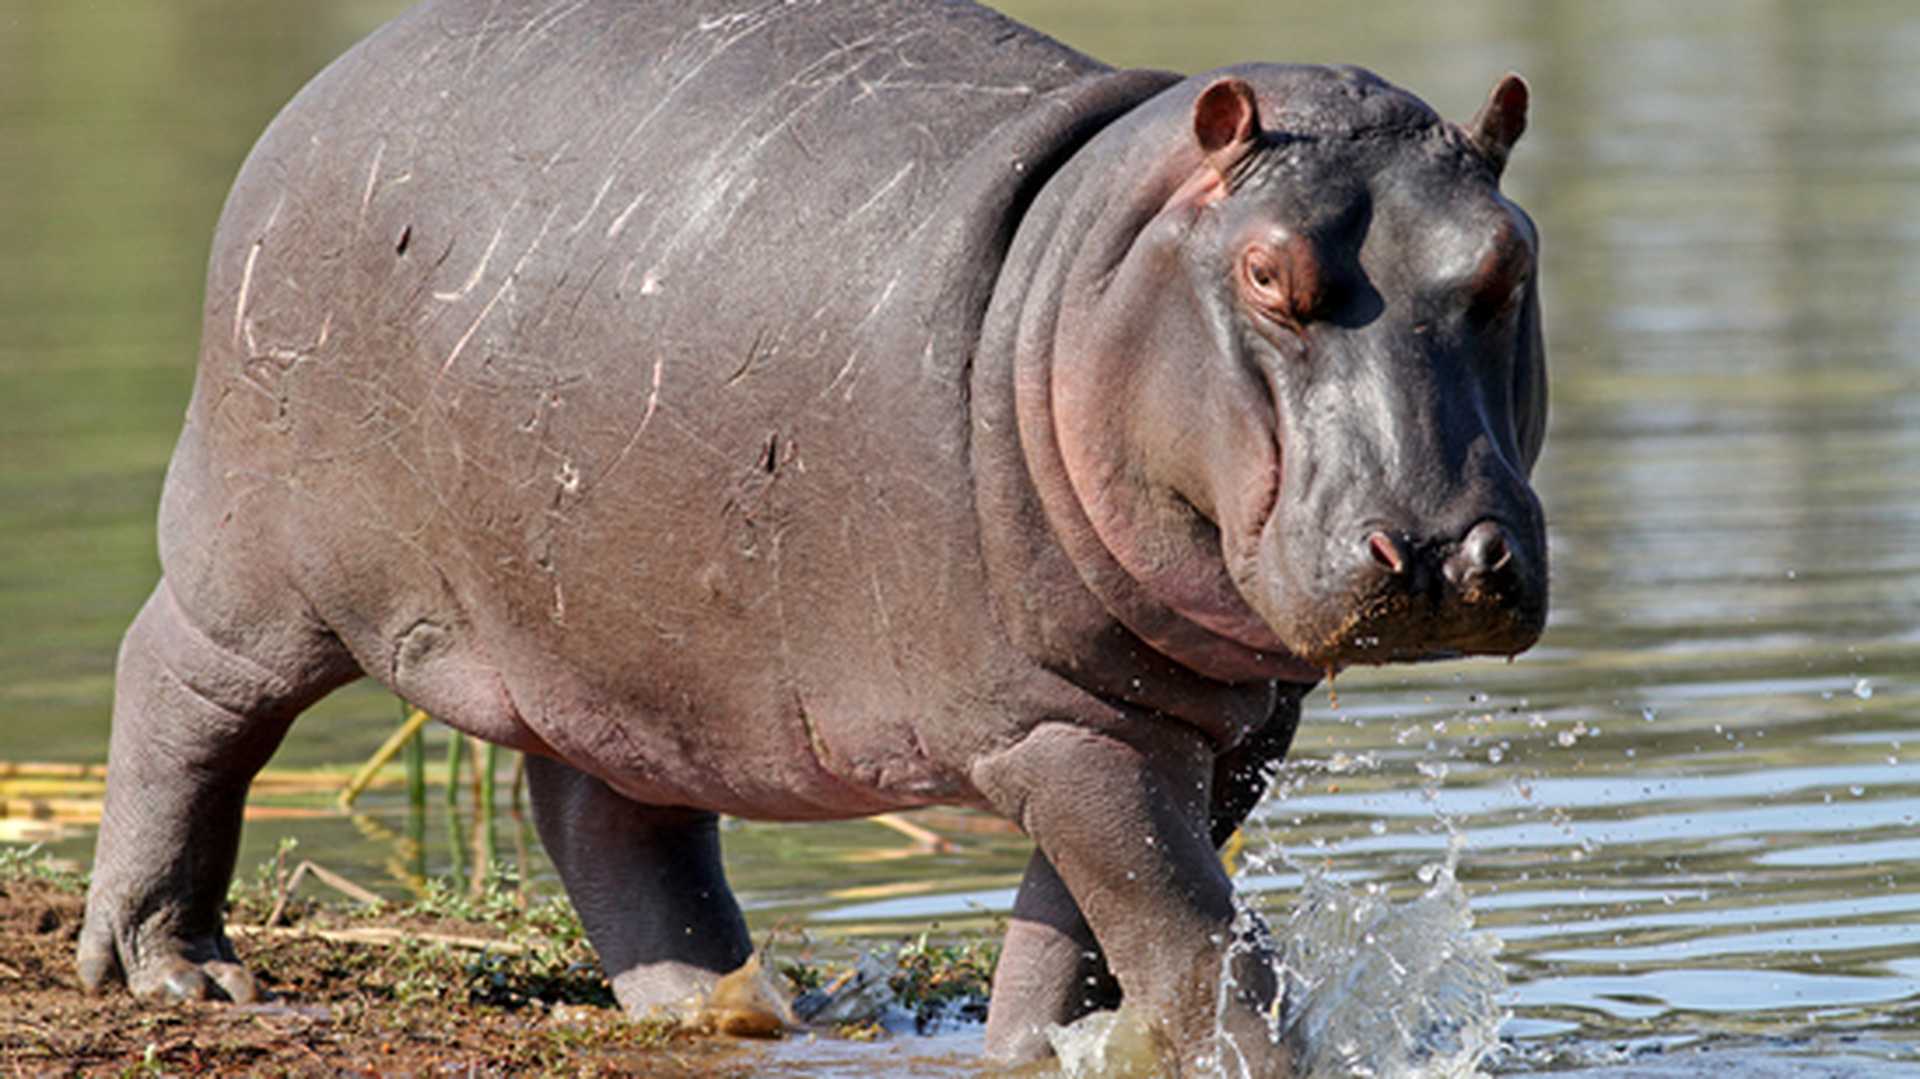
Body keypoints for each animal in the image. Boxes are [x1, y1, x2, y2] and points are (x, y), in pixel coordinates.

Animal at [78, 0, 1547, 1073]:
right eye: (1267, 275)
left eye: (1508, 260)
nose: (1438, 552)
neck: (1106, 259)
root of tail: (325, 87)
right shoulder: (1071, 726)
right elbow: (1188, 929)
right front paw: (1245, 1052)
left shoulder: (1215, 719)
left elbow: (1080, 921)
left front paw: (1040, 1044)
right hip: (268, 566)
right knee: (183, 691)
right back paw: (179, 968)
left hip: (616, 626)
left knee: (607, 805)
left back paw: (716, 1005)